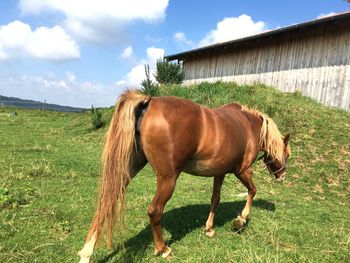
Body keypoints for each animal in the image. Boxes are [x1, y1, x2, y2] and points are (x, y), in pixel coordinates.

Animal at [78, 90, 292, 262]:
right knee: (154, 211)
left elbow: (215, 199)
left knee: (106, 202)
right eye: (287, 153)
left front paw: (209, 228)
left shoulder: (220, 173)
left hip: (127, 170)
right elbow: (253, 191)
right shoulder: (243, 171)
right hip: (168, 179)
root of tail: (149, 102)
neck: (248, 125)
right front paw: (241, 220)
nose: (282, 177)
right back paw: (163, 249)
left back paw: (86, 253)